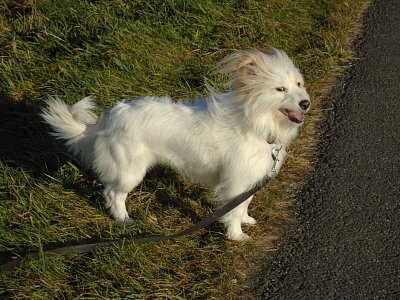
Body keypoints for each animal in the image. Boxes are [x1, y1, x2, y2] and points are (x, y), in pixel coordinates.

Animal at [41, 48, 310, 240]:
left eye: (298, 84)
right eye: (280, 89)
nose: (306, 103)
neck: (256, 123)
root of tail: (107, 119)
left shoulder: (248, 181)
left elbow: (243, 205)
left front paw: (246, 221)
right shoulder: (235, 182)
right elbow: (232, 211)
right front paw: (237, 236)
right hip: (129, 171)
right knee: (113, 193)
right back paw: (123, 220)